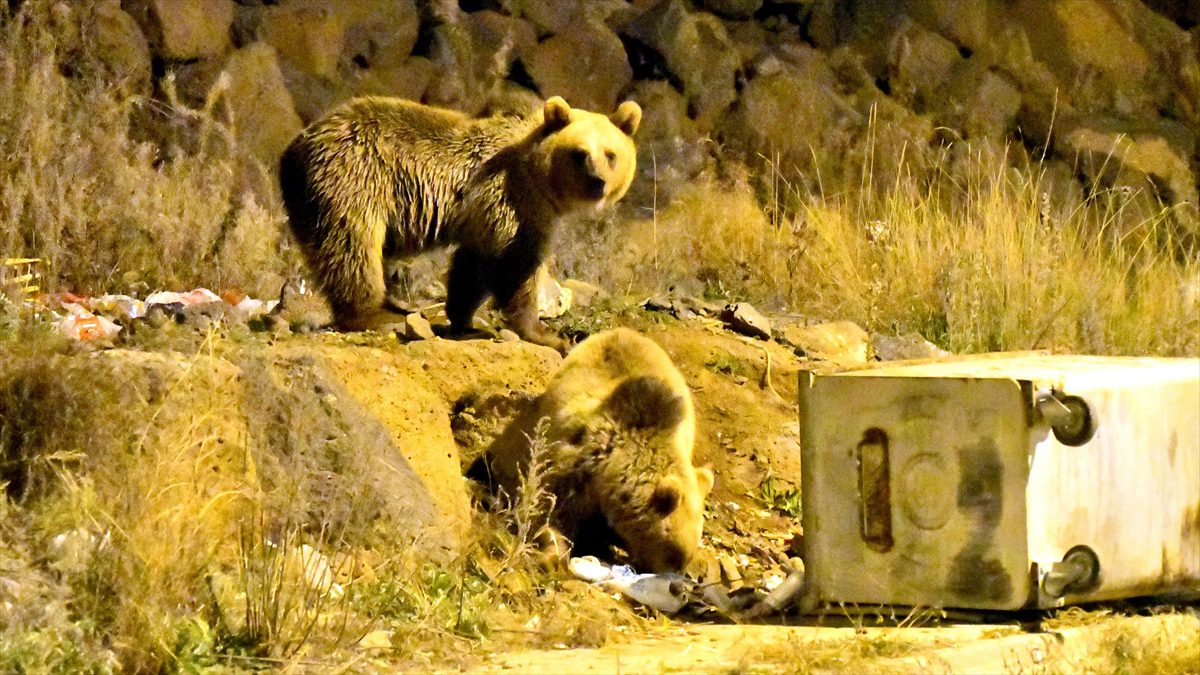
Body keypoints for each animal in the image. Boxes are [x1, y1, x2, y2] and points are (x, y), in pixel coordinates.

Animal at [279, 94, 643, 345]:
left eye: (610, 154)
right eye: (580, 154)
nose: (597, 183)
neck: (539, 178)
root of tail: (292, 150)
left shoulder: (484, 216)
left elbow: (472, 267)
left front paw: (463, 318)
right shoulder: (513, 201)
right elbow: (517, 266)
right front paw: (544, 333)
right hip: (354, 178)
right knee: (352, 248)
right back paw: (377, 312)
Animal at [484, 329, 710, 569]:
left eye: (686, 555)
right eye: (675, 554)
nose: (679, 573)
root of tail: (621, 330)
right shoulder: (578, 467)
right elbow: (552, 509)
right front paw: (553, 551)